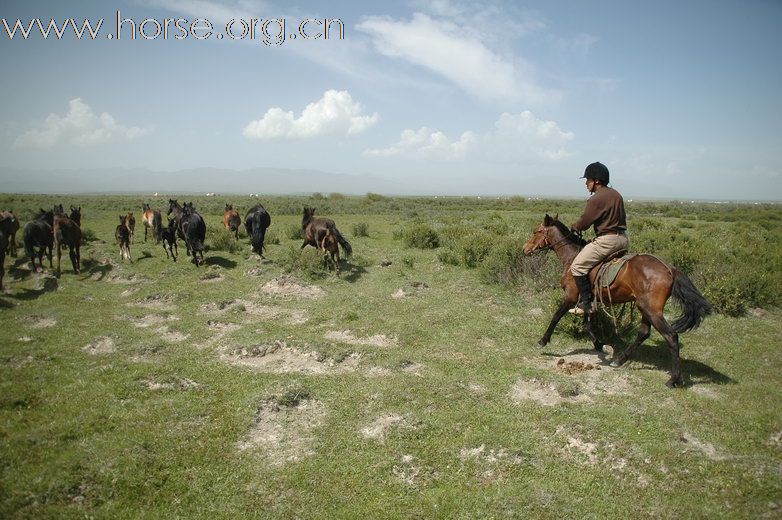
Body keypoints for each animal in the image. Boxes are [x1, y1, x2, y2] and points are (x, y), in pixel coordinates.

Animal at [524, 213, 712, 388]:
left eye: (536, 231)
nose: (525, 249)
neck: (572, 257)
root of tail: (669, 269)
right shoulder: (588, 301)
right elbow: (587, 325)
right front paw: (599, 345)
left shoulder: (570, 296)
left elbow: (556, 317)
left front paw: (543, 341)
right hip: (645, 309)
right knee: (644, 333)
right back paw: (619, 360)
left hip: (652, 311)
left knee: (671, 336)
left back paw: (674, 380)